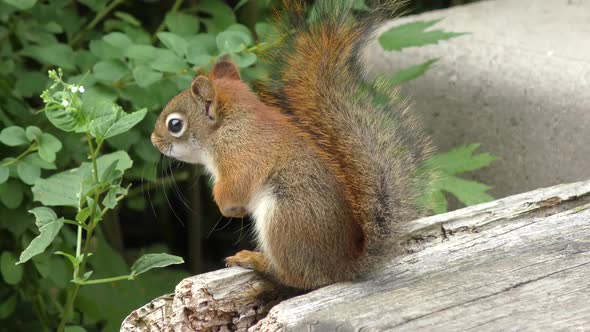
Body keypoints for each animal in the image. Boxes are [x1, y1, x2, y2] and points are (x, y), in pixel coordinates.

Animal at [148, 0, 434, 290]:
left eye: (175, 124)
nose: (153, 140)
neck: (228, 128)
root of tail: (341, 267)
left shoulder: (241, 158)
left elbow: (235, 187)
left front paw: (225, 206)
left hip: (284, 218)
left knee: (297, 276)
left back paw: (256, 260)